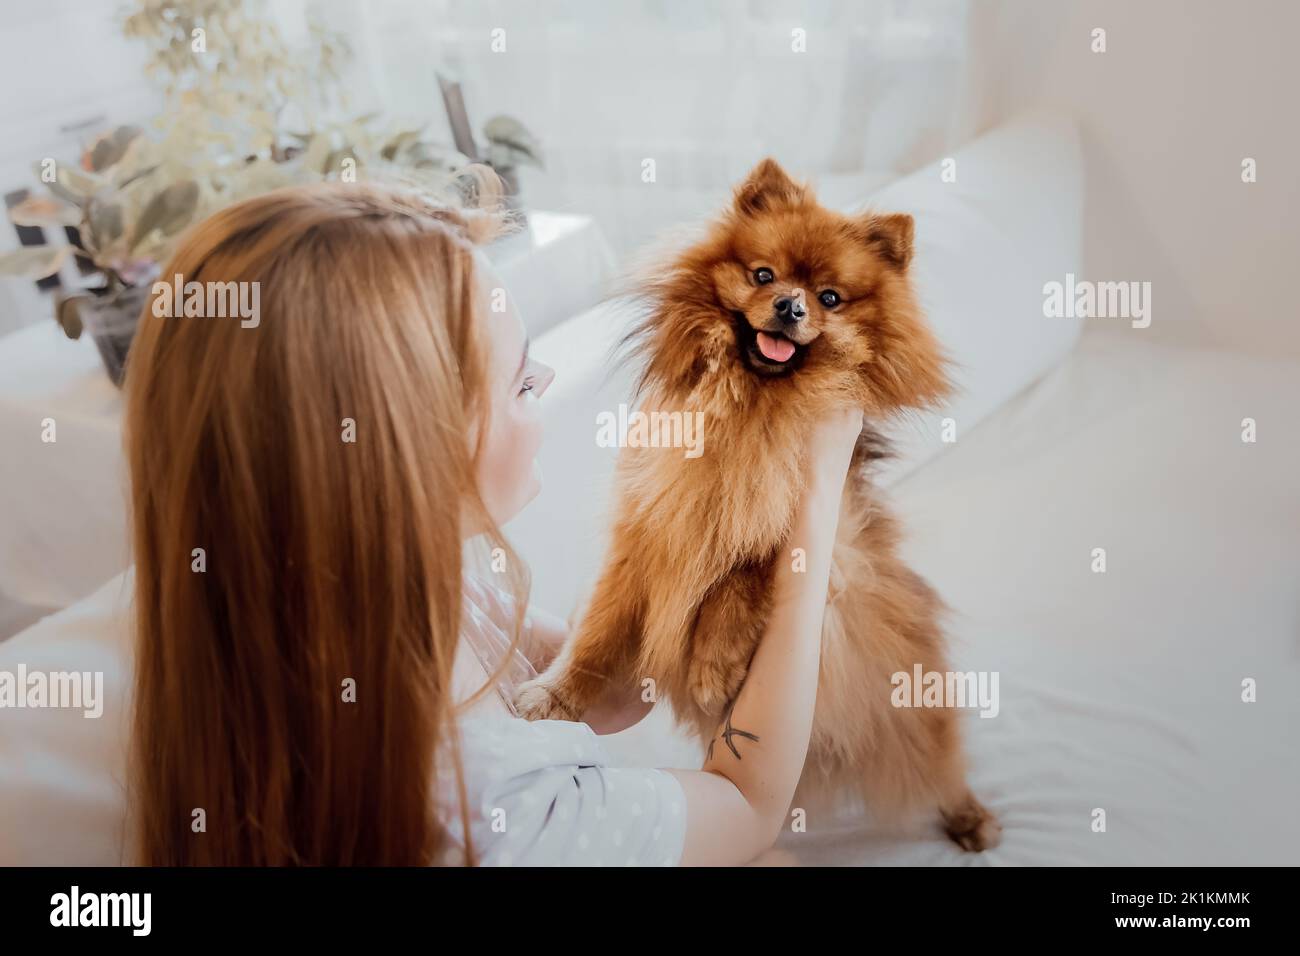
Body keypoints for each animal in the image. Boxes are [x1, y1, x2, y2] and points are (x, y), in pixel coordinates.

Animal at [512, 158, 998, 853]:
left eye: (829, 297)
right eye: (763, 275)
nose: (790, 305)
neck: (749, 409)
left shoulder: (811, 530)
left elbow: (738, 581)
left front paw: (714, 671)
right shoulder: (645, 535)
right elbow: (596, 639)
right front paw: (553, 699)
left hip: (912, 709)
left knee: (941, 763)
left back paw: (968, 818)